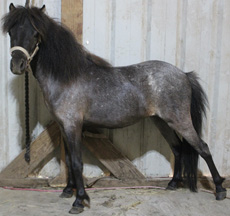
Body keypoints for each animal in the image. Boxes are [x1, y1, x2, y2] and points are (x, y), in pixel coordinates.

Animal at [2, 3, 226, 214]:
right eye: (11, 32)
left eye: (35, 33)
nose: (17, 66)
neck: (66, 77)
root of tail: (184, 75)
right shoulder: (64, 128)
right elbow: (68, 159)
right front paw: (67, 190)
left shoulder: (73, 126)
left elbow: (76, 162)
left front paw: (79, 200)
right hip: (162, 121)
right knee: (177, 148)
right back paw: (172, 183)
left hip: (180, 121)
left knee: (203, 148)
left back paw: (220, 190)